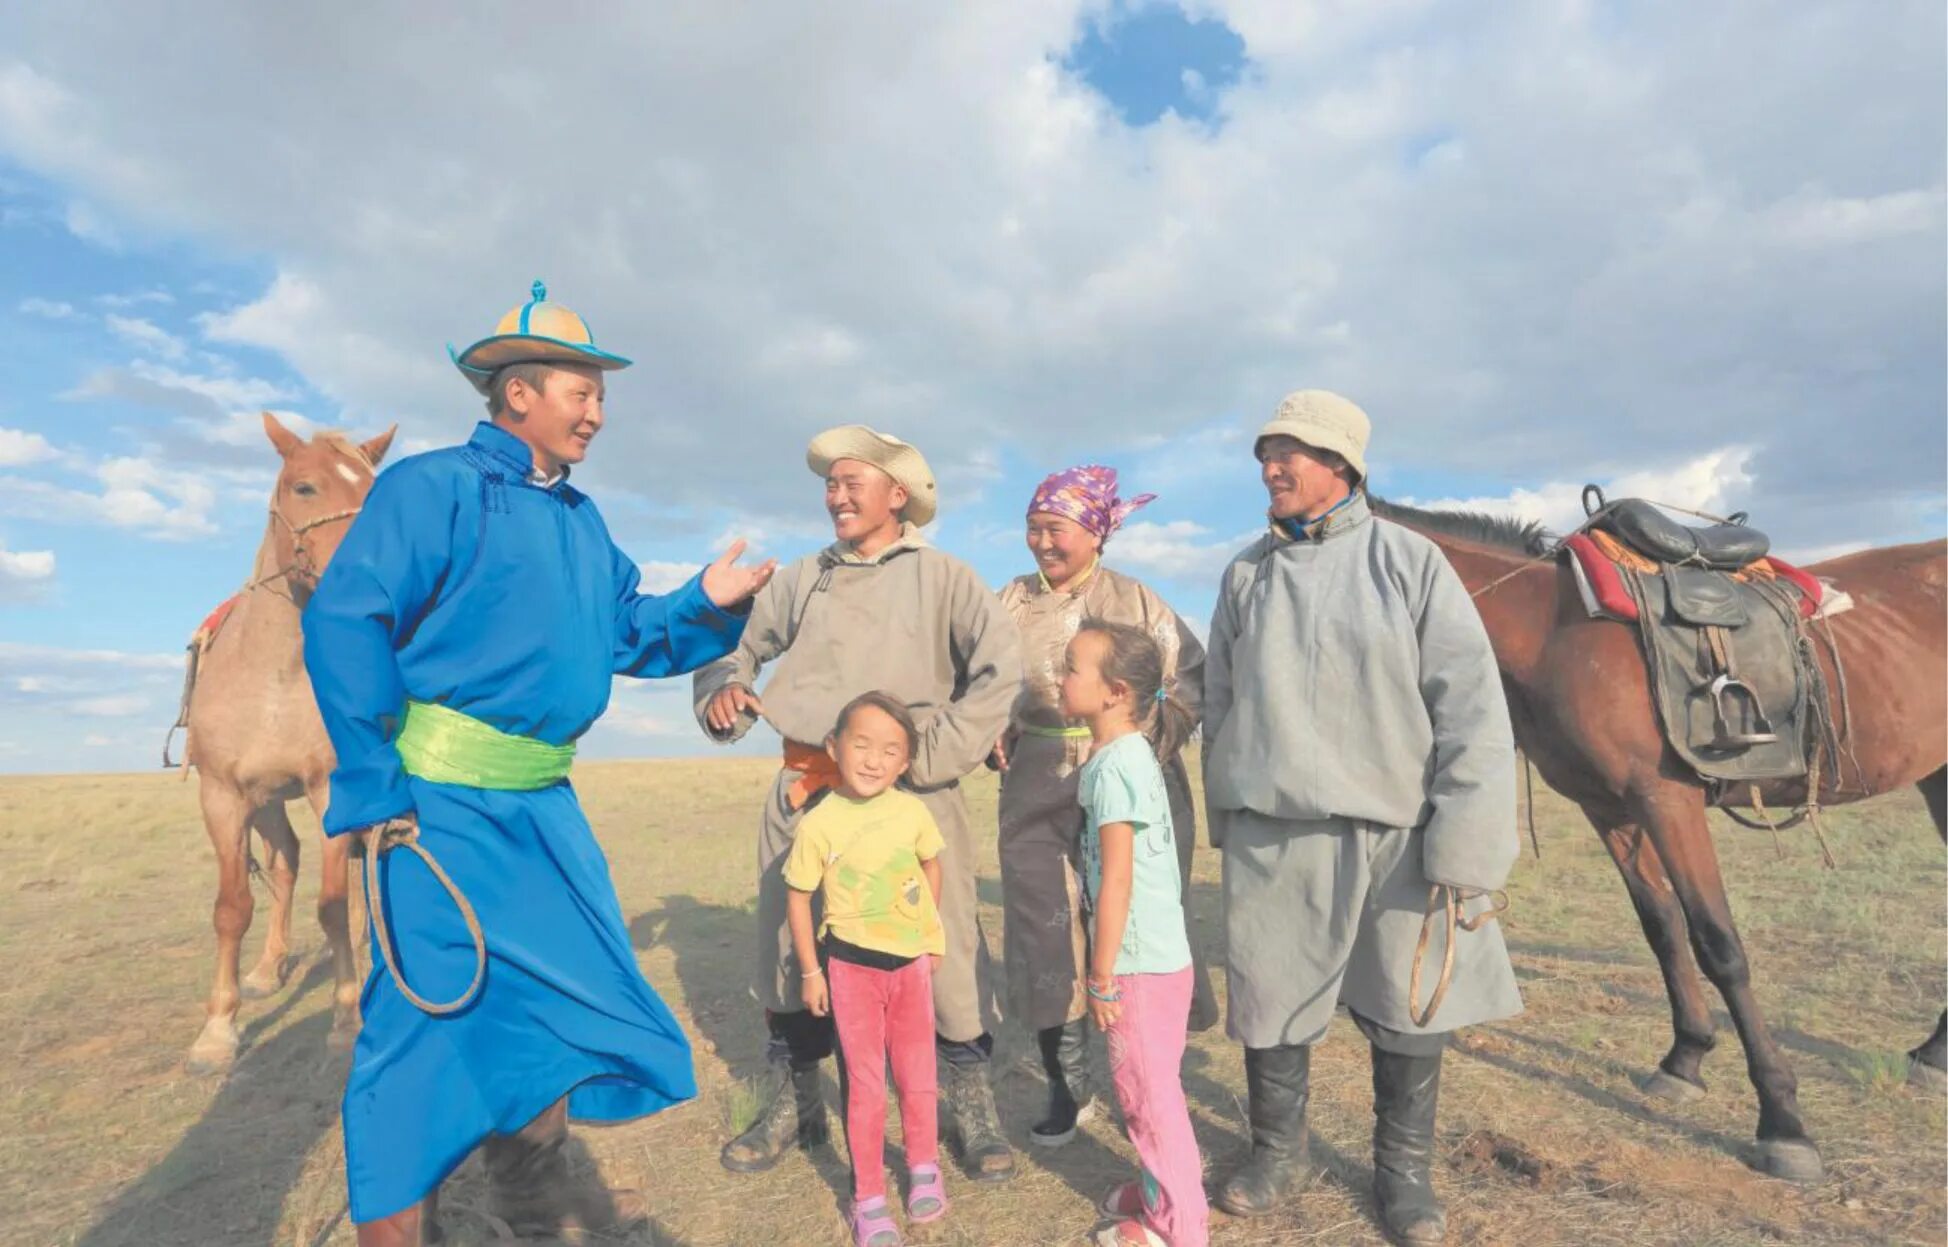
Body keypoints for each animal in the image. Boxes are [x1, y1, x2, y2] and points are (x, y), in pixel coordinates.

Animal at [183, 411, 395, 1075]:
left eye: (375, 491)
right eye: (304, 486)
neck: (273, 676)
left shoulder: (331, 789)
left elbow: (331, 904)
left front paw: (347, 1018)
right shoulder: (223, 795)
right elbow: (231, 908)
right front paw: (217, 1030)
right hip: (267, 800)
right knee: (284, 863)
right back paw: (266, 968)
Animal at [1371, 496, 1948, 1176]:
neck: (1549, 631)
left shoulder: (1668, 802)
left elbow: (1719, 945)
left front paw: (1783, 1120)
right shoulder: (1611, 810)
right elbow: (1663, 927)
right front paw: (1686, 1059)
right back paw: (1934, 1055)